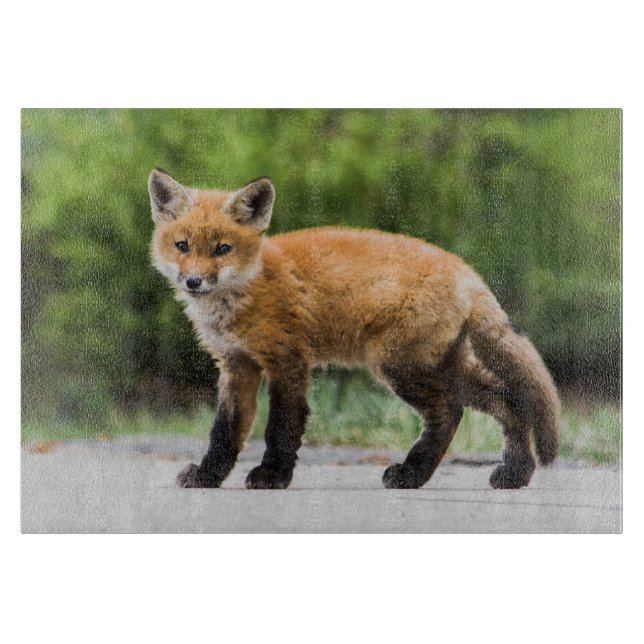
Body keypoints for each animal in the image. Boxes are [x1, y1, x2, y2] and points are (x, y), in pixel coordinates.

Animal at [148, 168, 560, 491]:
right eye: (182, 246)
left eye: (222, 249)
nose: (194, 282)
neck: (247, 291)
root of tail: (467, 272)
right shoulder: (237, 366)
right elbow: (225, 432)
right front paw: (207, 477)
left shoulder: (288, 361)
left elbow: (281, 426)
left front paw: (273, 475)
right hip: (443, 366)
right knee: (506, 400)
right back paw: (511, 474)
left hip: (400, 366)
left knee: (451, 410)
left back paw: (412, 473)